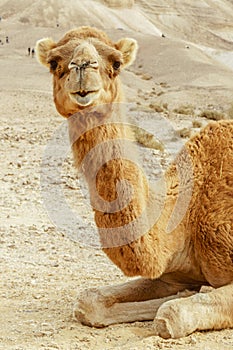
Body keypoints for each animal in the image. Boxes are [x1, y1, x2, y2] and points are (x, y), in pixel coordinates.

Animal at [35, 27, 232, 340]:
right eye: (55, 63)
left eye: (115, 63)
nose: (82, 67)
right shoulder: (169, 274)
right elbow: (88, 302)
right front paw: (186, 292)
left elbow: (171, 315)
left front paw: (187, 296)